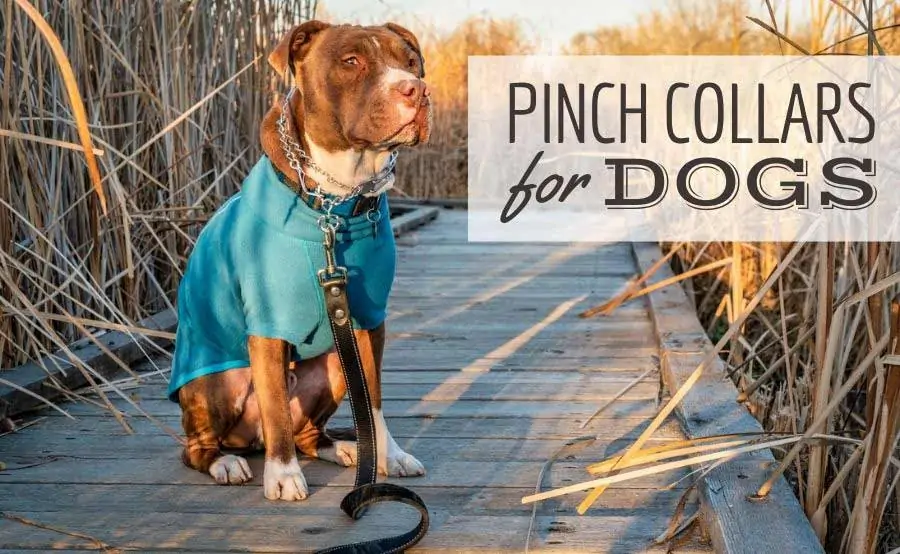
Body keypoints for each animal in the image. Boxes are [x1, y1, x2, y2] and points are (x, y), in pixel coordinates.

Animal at [170, 20, 436, 500]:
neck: (336, 201)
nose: (417, 90)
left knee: (309, 432)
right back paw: (226, 462)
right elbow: (275, 405)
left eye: (411, 63)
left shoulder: (368, 320)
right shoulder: (267, 327)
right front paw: (282, 475)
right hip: (215, 384)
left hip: (333, 365)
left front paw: (389, 455)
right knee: (199, 445)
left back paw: (344, 448)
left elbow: (374, 397)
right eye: (351, 61)